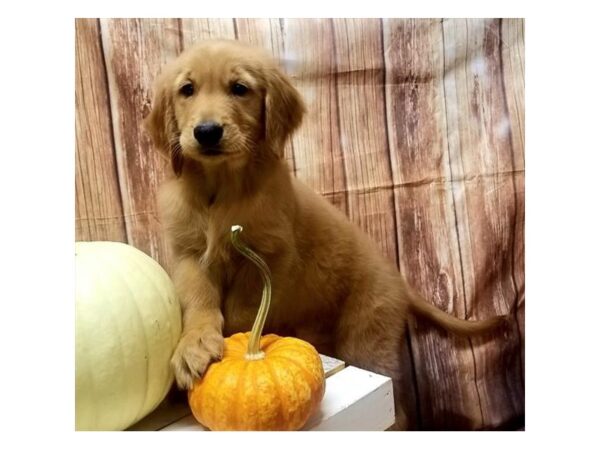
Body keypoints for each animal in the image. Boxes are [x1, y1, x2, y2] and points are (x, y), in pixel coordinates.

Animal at [144, 39, 506, 428]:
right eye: (187, 90)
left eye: (239, 89)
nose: (207, 132)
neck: (222, 188)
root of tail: (401, 283)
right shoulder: (189, 255)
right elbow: (199, 302)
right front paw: (194, 345)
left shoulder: (271, 256)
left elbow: (243, 310)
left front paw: (236, 344)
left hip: (367, 337)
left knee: (399, 408)